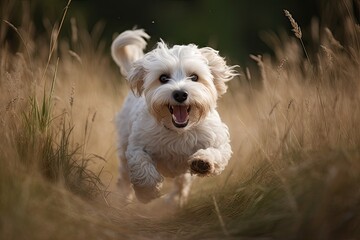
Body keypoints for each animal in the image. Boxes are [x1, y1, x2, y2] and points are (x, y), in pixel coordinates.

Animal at [111, 29, 238, 205]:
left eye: (194, 77)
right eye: (163, 78)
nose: (180, 94)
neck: (179, 132)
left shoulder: (218, 140)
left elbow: (217, 152)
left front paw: (203, 162)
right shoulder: (137, 145)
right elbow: (142, 163)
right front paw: (146, 192)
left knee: (182, 182)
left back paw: (175, 199)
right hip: (123, 145)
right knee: (123, 176)